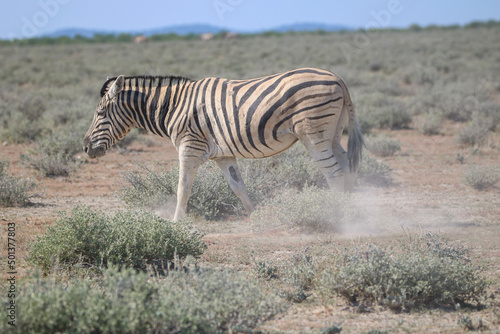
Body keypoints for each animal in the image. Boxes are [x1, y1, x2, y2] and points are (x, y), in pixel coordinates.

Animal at [82, 68, 364, 220]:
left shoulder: (189, 147)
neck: (173, 106)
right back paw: (352, 212)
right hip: (333, 134)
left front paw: (176, 222)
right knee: (347, 167)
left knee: (334, 174)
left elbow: (182, 188)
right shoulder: (223, 155)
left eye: (101, 113)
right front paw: (255, 215)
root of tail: (338, 79)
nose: (85, 148)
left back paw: (338, 216)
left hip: (314, 135)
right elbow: (238, 187)